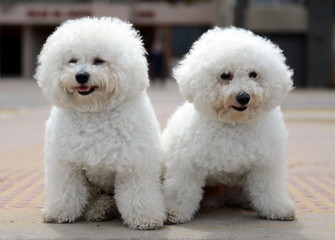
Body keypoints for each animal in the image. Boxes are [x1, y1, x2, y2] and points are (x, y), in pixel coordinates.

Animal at [35, 17, 167, 231]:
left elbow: (137, 194)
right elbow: (65, 190)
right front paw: (59, 212)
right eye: (72, 60)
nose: (81, 76)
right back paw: (100, 209)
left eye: (99, 60)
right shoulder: (66, 165)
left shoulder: (134, 166)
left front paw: (145, 218)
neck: (94, 112)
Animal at [163, 27, 296, 224]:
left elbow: (268, 188)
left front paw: (278, 209)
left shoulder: (265, 165)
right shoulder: (187, 165)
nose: (243, 97)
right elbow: (182, 190)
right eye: (225, 75)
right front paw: (175, 212)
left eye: (253, 74)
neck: (234, 124)